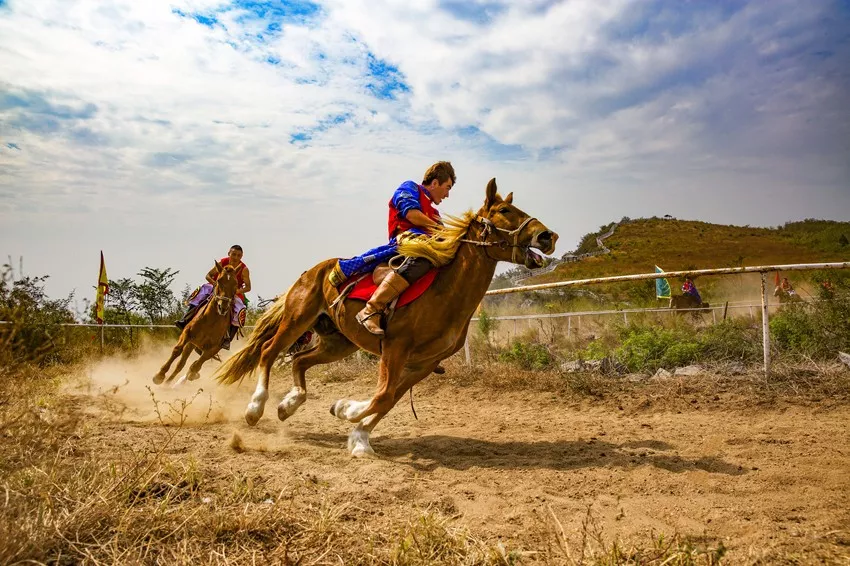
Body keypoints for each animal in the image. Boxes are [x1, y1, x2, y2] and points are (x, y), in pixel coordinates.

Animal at [214, 180, 556, 460]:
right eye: (504, 210)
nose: (548, 235)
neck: (446, 293)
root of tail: (312, 271)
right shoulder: (395, 348)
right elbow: (382, 395)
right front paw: (347, 410)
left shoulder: (425, 363)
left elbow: (390, 399)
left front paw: (358, 435)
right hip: (297, 320)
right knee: (269, 352)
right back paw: (255, 408)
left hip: (338, 343)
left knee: (299, 361)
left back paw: (289, 405)